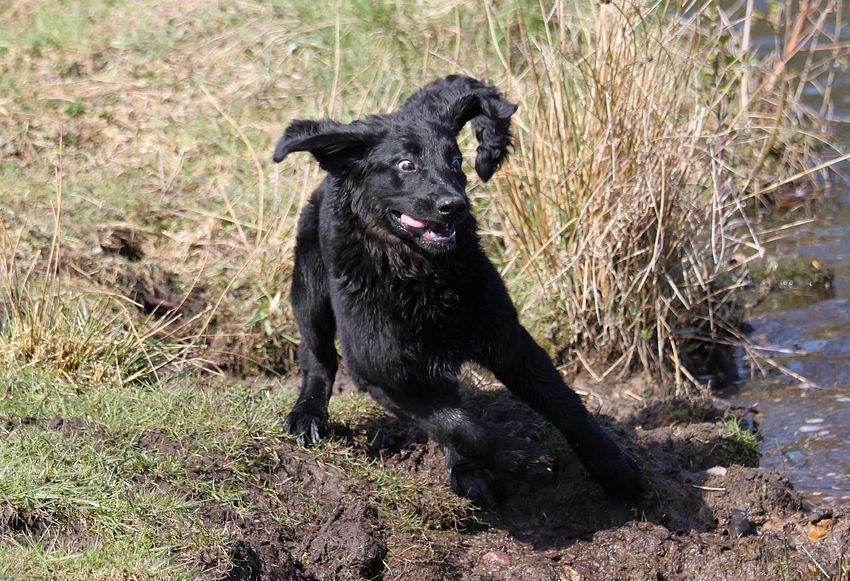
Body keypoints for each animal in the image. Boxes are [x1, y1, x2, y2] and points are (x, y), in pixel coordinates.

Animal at [273, 75, 642, 506]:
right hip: (310, 282)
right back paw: (308, 413)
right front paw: (524, 459)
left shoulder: (508, 341)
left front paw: (617, 471)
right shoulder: (381, 371)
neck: (423, 276)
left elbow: (566, 406)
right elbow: (461, 426)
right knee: (318, 355)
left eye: (455, 162)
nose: (455, 206)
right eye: (406, 164)